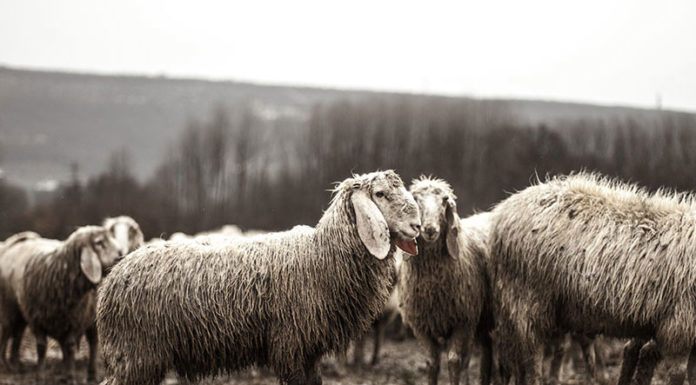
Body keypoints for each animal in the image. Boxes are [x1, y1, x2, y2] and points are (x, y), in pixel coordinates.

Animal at [0, 225, 122, 378]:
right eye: (99, 242)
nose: (121, 253)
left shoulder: (75, 321)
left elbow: (70, 346)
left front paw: (70, 375)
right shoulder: (36, 320)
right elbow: (41, 347)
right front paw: (40, 375)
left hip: (91, 319)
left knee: (93, 344)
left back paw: (90, 374)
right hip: (10, 308)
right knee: (9, 332)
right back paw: (8, 364)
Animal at [95, 171, 422, 384]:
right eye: (379, 194)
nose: (417, 225)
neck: (321, 257)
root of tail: (114, 276)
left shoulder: (310, 349)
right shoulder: (291, 343)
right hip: (134, 352)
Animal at [396, 176, 494, 384]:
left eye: (444, 201)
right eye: (416, 199)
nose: (429, 229)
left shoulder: (463, 321)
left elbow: (454, 361)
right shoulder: (422, 326)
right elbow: (432, 363)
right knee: (486, 351)